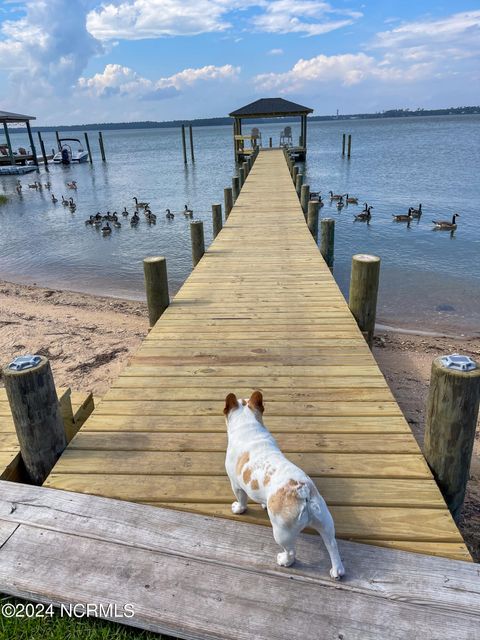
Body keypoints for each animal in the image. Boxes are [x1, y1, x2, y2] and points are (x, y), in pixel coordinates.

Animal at [225, 390, 344, 580]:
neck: (248, 424)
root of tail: (302, 491)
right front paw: (263, 504)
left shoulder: (235, 484)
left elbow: (241, 499)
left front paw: (239, 508)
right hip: (325, 521)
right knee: (332, 544)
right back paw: (337, 570)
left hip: (281, 532)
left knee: (291, 551)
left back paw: (284, 560)